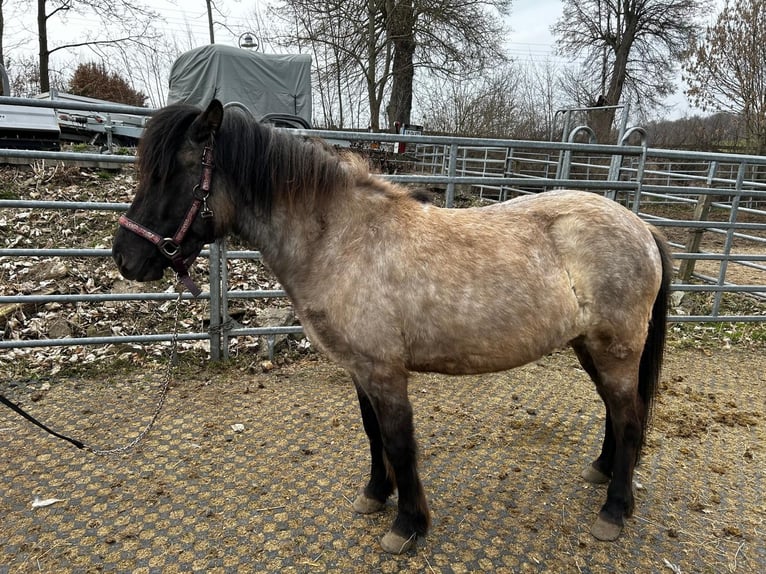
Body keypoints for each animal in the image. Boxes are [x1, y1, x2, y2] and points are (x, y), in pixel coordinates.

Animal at [112, 99, 674, 554]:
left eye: (172, 173)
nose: (125, 258)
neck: (342, 240)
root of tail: (642, 226)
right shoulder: (360, 369)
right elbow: (372, 433)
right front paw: (375, 495)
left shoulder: (385, 372)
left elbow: (400, 442)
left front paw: (407, 525)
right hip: (589, 346)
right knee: (616, 411)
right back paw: (603, 474)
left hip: (616, 348)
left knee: (628, 417)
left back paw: (614, 511)